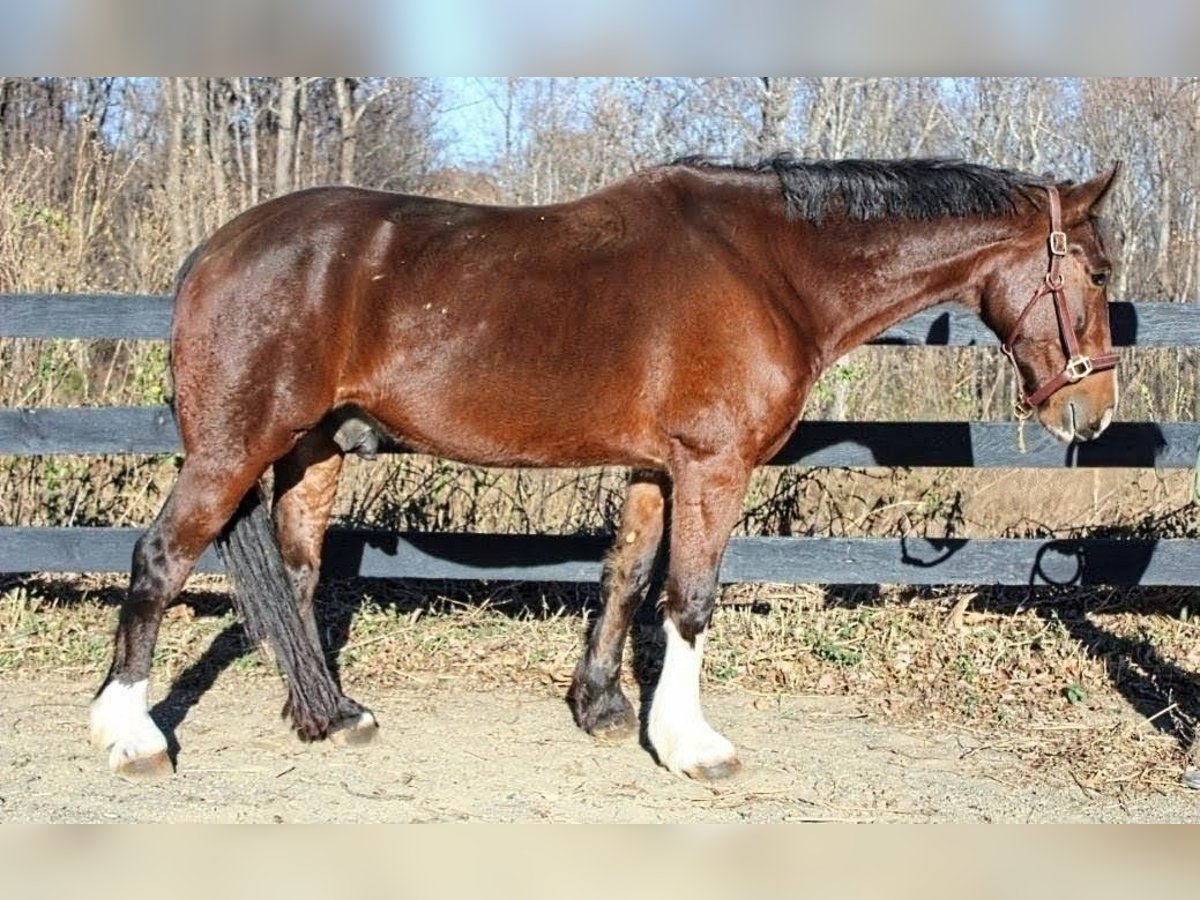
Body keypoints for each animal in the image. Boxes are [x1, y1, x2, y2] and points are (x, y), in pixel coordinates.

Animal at [89, 155, 1121, 781]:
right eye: (1101, 273)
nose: (1095, 410)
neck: (768, 268)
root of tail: (214, 252)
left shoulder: (656, 472)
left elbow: (626, 578)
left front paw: (601, 707)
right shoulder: (713, 469)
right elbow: (691, 599)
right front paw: (692, 744)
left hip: (312, 451)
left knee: (297, 576)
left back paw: (330, 714)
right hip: (236, 446)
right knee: (159, 559)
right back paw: (130, 733)